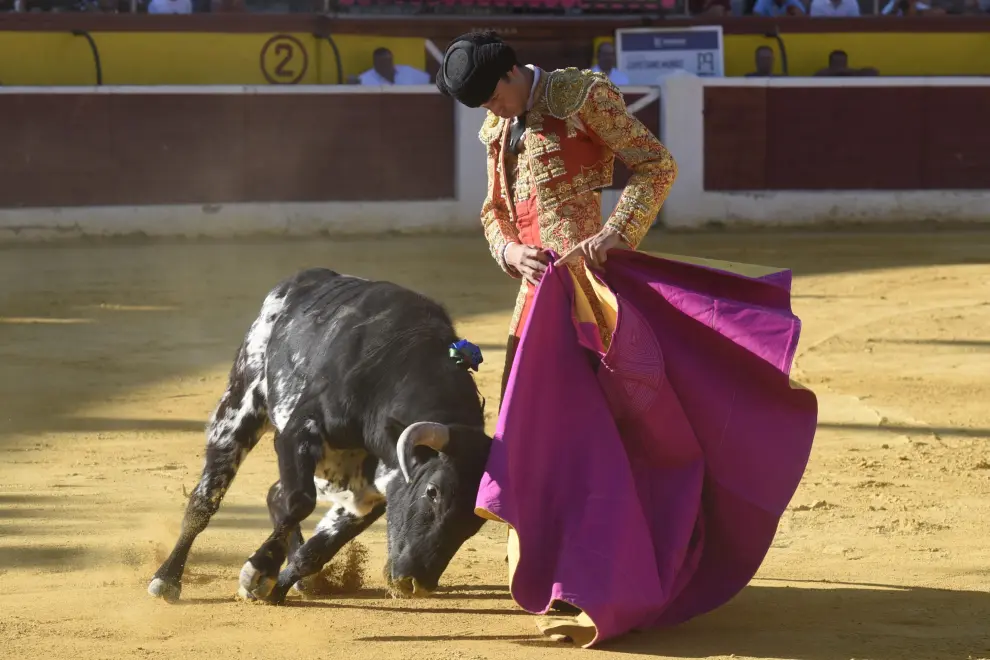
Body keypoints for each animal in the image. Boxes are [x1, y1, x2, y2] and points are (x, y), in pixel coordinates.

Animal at [147, 266, 496, 604]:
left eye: (477, 519)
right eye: (432, 492)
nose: (416, 584)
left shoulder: (372, 492)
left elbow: (317, 549)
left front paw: (275, 588)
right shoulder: (298, 431)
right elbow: (300, 501)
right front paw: (257, 572)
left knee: (275, 494)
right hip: (239, 407)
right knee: (205, 499)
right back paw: (166, 579)